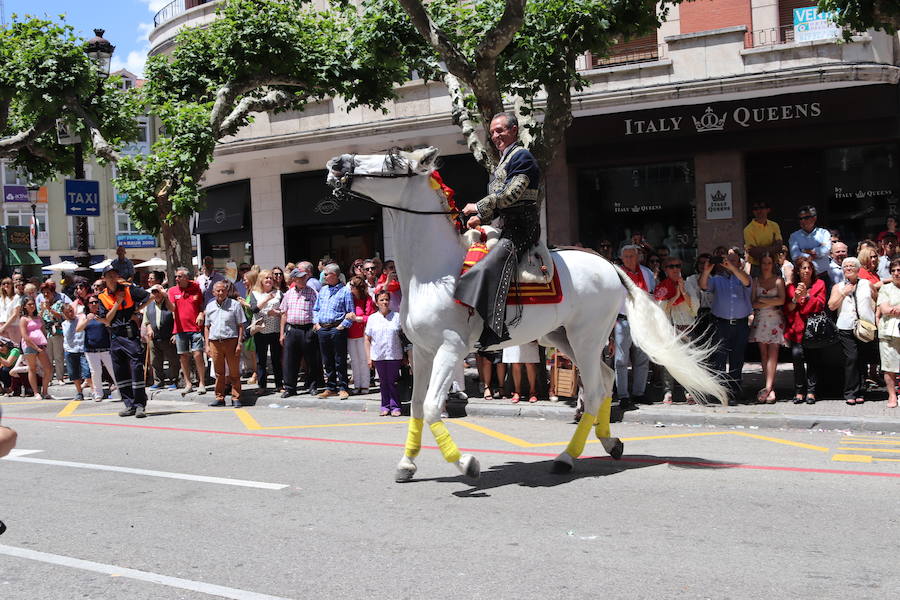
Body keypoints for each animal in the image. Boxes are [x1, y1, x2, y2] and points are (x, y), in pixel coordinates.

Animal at [326, 149, 728, 482]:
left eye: (393, 160)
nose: (337, 163)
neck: (434, 273)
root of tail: (609, 265)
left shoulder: (451, 348)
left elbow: (431, 406)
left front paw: (466, 463)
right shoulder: (423, 351)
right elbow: (417, 409)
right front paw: (407, 464)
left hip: (585, 337)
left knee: (595, 390)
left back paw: (567, 457)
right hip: (562, 337)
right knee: (607, 378)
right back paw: (609, 443)